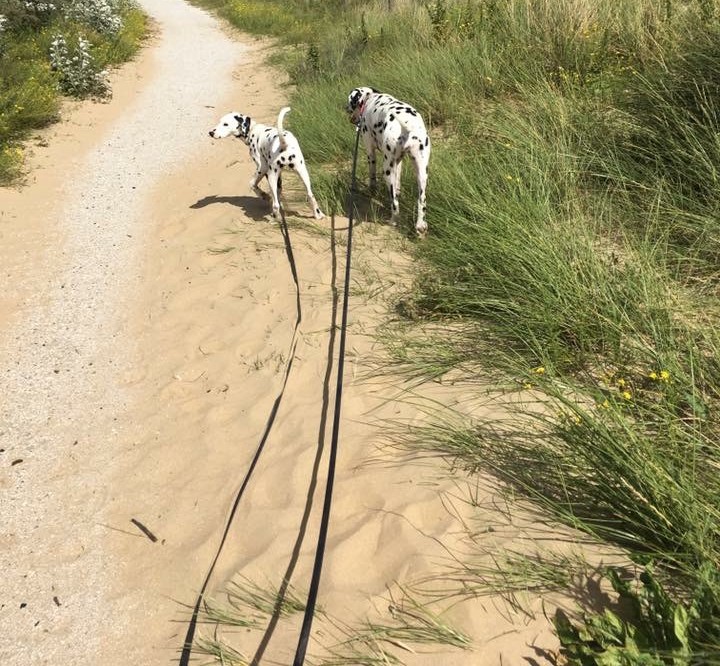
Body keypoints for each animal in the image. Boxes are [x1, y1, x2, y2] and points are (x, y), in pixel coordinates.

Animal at [346, 87, 430, 235]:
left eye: (349, 102)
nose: (345, 109)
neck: (369, 98)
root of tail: (407, 124)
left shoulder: (370, 153)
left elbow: (372, 177)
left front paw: (372, 190)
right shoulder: (398, 161)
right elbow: (398, 185)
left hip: (387, 170)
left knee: (395, 204)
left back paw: (393, 221)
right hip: (421, 173)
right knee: (422, 200)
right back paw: (420, 225)